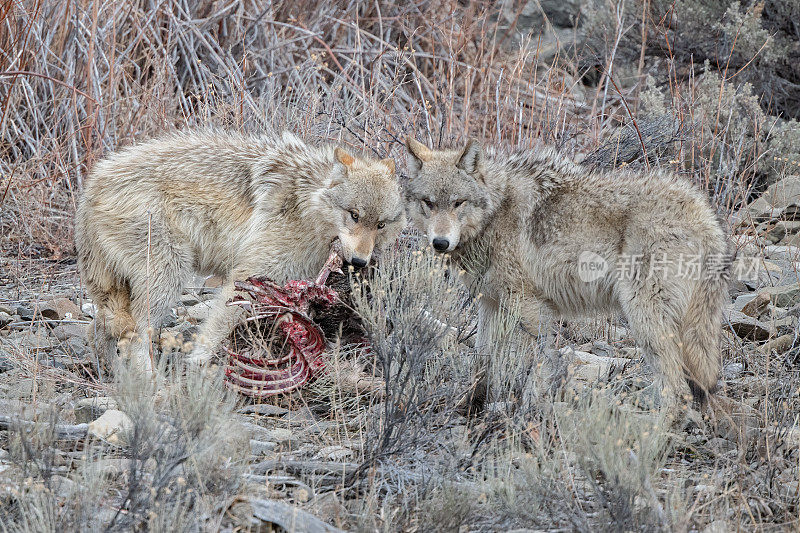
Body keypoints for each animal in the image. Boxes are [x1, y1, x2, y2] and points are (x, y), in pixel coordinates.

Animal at [76, 130, 406, 370]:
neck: (306, 203)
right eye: (354, 215)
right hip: (169, 276)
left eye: (380, 225)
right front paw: (199, 362)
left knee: (99, 331)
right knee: (135, 338)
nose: (359, 261)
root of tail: (90, 187)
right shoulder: (248, 274)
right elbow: (216, 327)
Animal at [406, 137, 732, 408]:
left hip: (644, 319)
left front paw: (526, 412)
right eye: (429, 203)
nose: (440, 243)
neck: (495, 212)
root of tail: (706, 218)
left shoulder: (530, 308)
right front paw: (470, 406)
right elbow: (482, 362)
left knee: (678, 392)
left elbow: (536, 365)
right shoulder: (490, 302)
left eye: (458, 203)